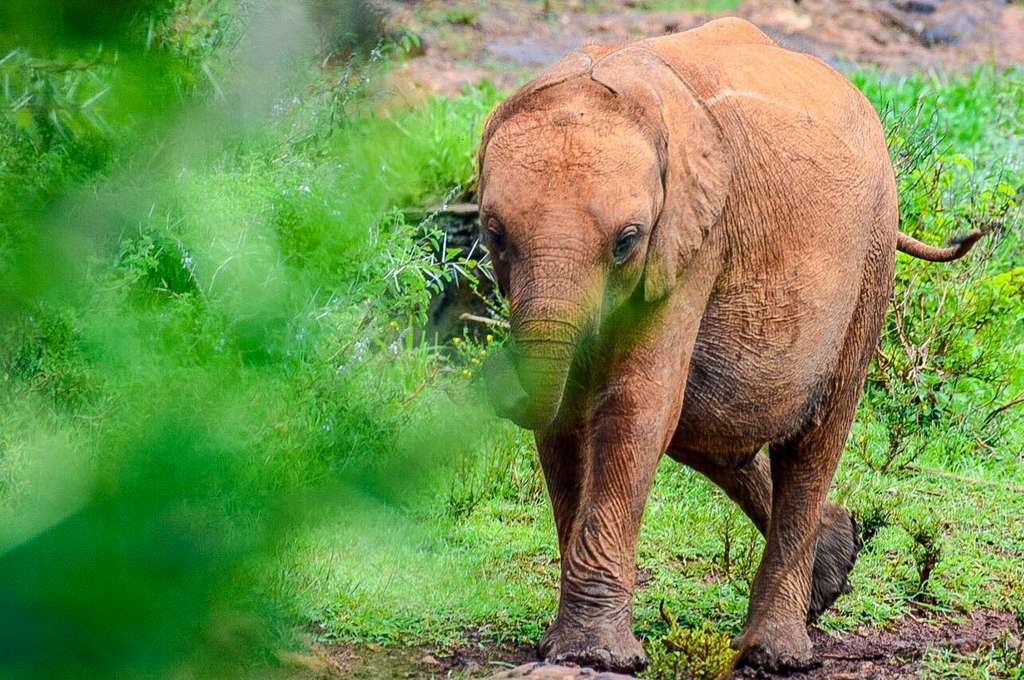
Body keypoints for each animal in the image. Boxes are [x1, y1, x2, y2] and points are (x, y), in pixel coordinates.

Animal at [477, 15, 983, 675]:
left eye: (627, 241)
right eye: (493, 232)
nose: (493, 371)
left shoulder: (694, 241)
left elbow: (635, 407)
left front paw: (595, 656)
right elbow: (569, 418)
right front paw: (570, 645)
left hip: (871, 256)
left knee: (811, 442)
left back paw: (776, 651)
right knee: (709, 431)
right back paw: (835, 569)